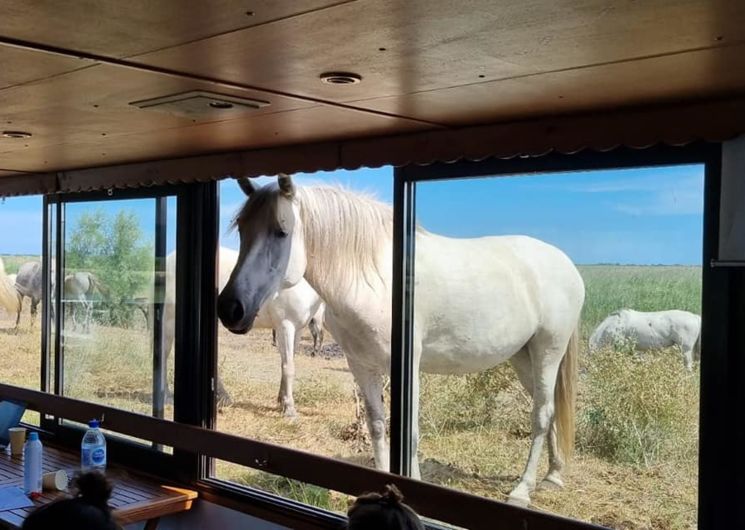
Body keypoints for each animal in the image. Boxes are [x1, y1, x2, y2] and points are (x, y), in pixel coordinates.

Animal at [163, 245, 326, 414]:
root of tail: (169, 259)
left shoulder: (297, 330)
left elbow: (287, 362)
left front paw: (281, 400)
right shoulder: (285, 326)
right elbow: (288, 367)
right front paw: (289, 408)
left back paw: (223, 398)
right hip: (170, 317)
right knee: (164, 352)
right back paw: (167, 396)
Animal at [218, 174, 584, 504]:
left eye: (281, 230)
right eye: (242, 229)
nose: (231, 308)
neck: (374, 277)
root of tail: (568, 265)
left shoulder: (406, 368)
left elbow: (409, 432)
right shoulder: (361, 365)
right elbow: (378, 425)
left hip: (548, 350)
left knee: (541, 414)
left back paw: (523, 490)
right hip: (523, 356)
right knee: (550, 408)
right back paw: (553, 475)